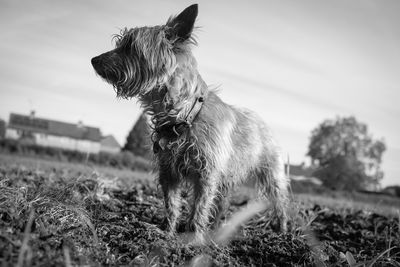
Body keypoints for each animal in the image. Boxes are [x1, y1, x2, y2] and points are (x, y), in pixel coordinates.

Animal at [92, 3, 290, 244]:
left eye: (130, 45)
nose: (93, 60)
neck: (184, 116)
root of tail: (263, 122)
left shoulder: (206, 175)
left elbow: (198, 208)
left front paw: (193, 240)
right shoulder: (168, 172)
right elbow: (171, 205)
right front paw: (167, 233)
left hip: (271, 175)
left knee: (279, 202)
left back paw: (282, 232)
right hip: (227, 178)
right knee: (222, 204)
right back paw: (216, 231)